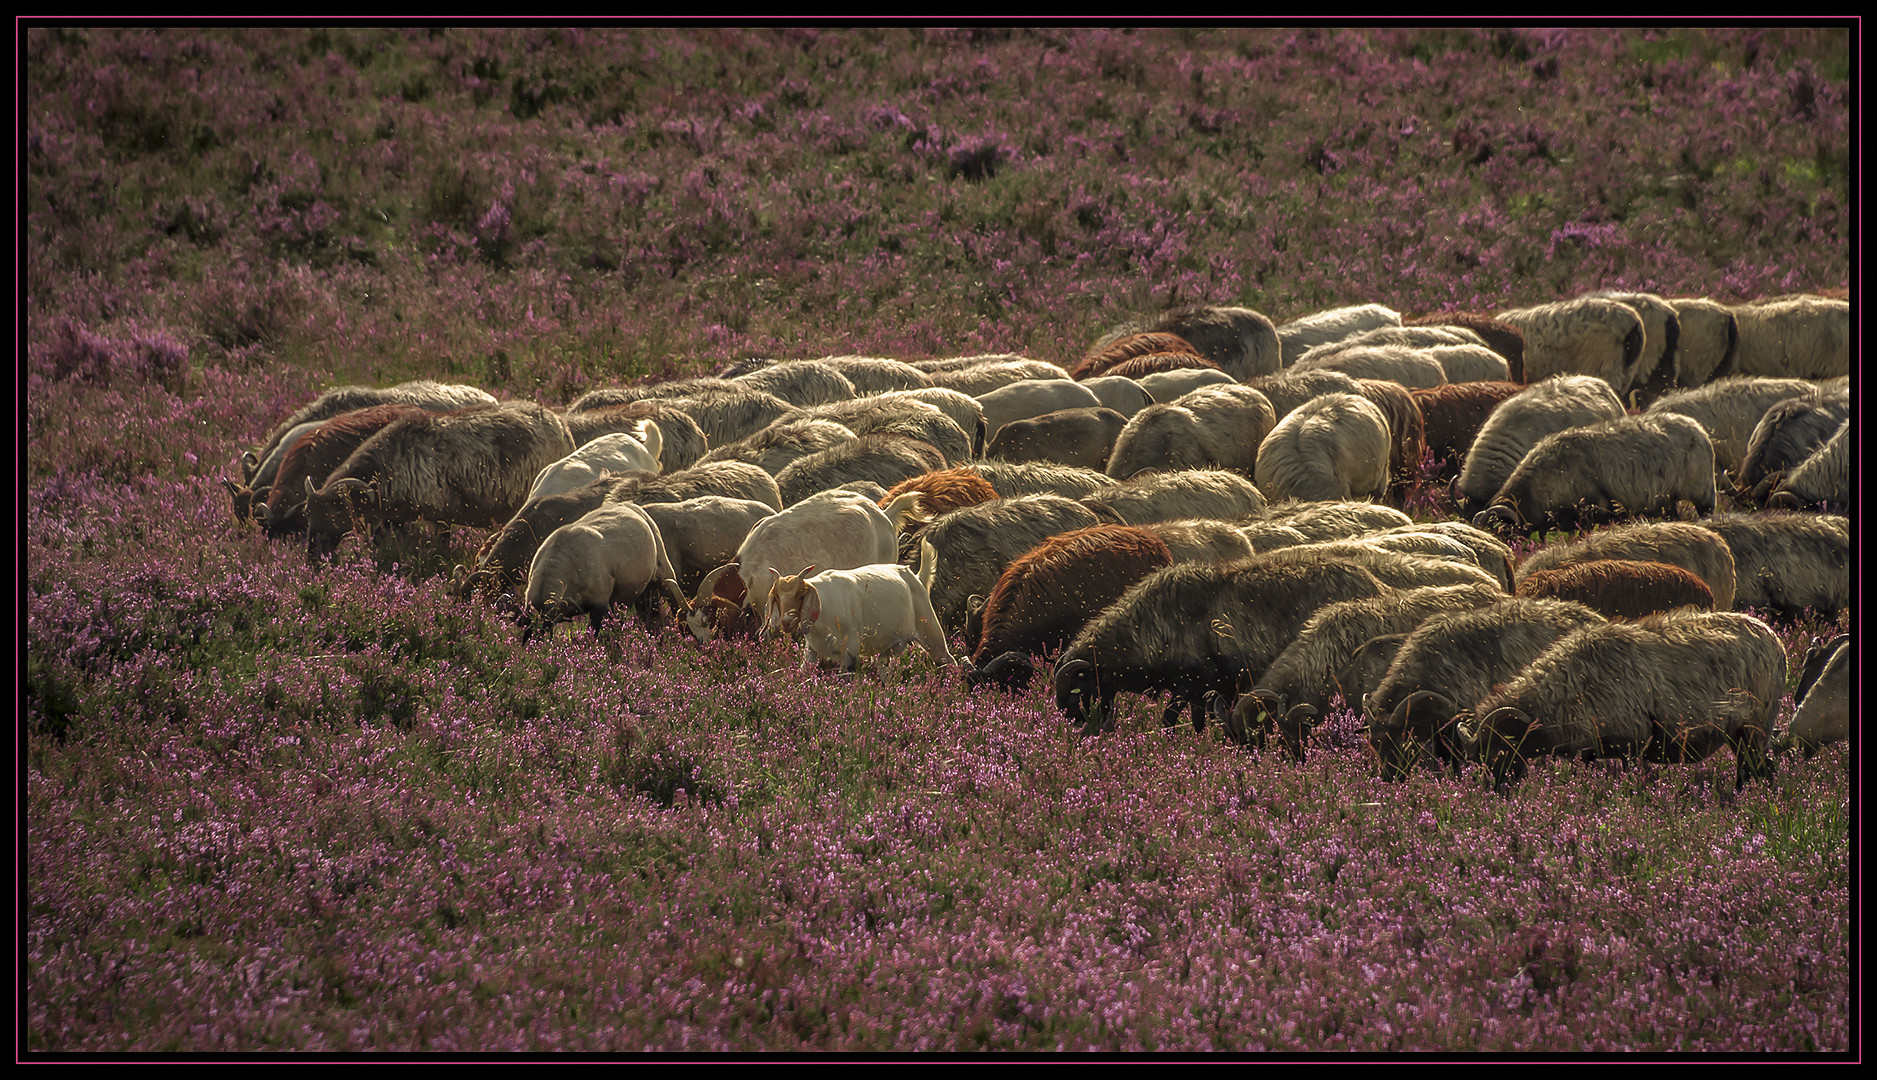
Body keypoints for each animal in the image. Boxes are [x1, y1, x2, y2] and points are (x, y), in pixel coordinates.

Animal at [521, 503, 690, 646]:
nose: (539, 647)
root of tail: (632, 505)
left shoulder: (599, 603)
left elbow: (591, 635)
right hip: (635, 591)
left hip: (664, 571)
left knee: (675, 603)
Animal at [1456, 608, 1779, 796]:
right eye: (1479, 760)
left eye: (1499, 751)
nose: (1496, 794)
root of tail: (1774, 638)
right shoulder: (1590, 750)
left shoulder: (1633, 743)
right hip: (1740, 732)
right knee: (1758, 768)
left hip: (1755, 726)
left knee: (1758, 769)